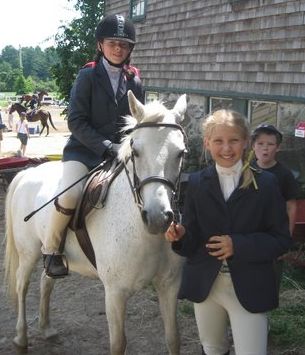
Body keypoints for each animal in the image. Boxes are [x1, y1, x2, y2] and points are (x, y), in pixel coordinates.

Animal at [3, 92, 186, 355]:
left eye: (180, 153)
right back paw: (21, 338)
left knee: (46, 281)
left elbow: (173, 338)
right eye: (135, 151)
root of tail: (27, 173)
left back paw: (46, 329)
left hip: (51, 250)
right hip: (28, 253)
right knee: (22, 286)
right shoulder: (115, 293)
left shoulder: (169, 286)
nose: (157, 218)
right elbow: (118, 344)